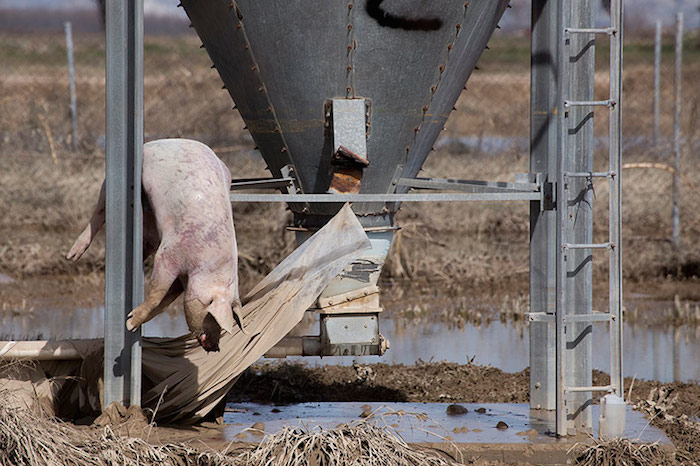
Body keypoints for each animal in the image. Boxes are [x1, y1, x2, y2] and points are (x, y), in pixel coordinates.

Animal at [67, 140, 243, 352]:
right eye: (212, 315)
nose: (215, 347)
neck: (207, 268)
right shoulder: (170, 254)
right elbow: (157, 293)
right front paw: (130, 324)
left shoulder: (181, 279)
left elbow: (164, 303)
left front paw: (132, 320)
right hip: (113, 180)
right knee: (100, 210)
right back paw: (71, 256)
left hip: (151, 224)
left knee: (144, 242)